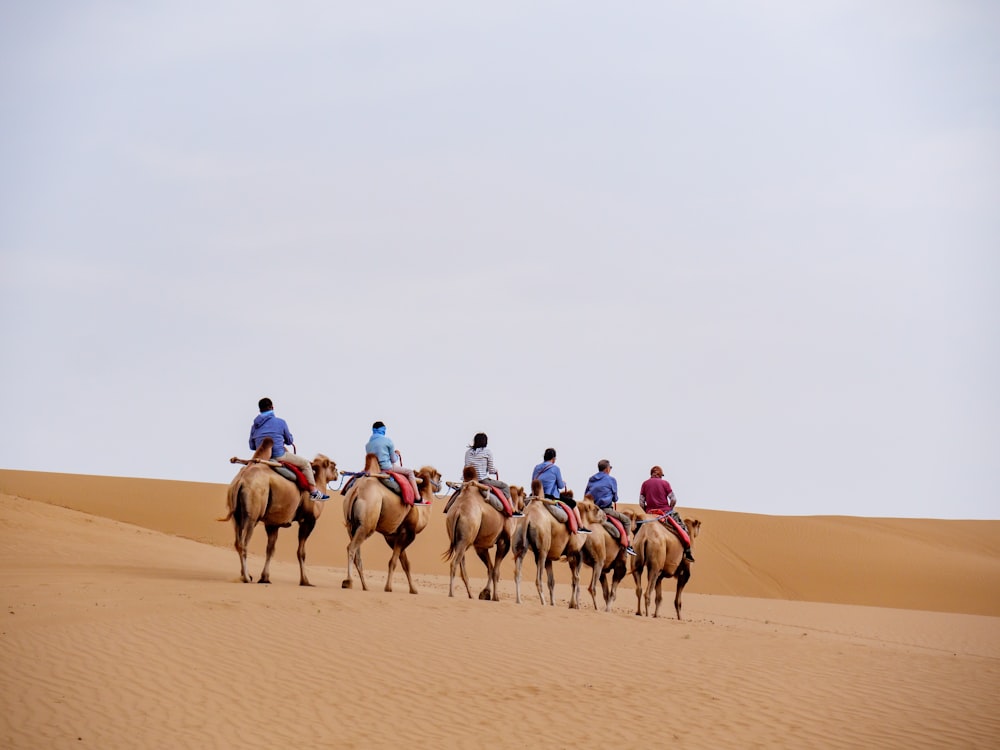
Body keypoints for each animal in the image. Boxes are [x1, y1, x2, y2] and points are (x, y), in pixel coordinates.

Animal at [223, 440, 340, 588]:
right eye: (333, 465)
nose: (338, 473)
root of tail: (240, 481)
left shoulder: (273, 523)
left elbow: (270, 549)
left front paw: (265, 578)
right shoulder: (308, 520)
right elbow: (301, 552)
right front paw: (305, 581)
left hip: (236, 516)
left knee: (237, 542)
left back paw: (245, 575)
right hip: (252, 515)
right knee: (244, 543)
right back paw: (246, 578)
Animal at [342, 456, 440, 596]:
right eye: (439, 476)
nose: (441, 485)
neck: (421, 510)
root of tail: (357, 490)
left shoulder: (393, 536)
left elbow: (405, 563)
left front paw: (413, 589)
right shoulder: (407, 533)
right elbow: (393, 561)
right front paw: (388, 588)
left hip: (352, 526)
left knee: (357, 554)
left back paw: (365, 587)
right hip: (367, 523)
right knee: (351, 547)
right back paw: (348, 581)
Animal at [444, 468, 528, 604]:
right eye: (524, 495)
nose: (522, 507)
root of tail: (458, 511)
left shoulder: (481, 545)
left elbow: (490, 568)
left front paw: (485, 593)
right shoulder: (504, 541)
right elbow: (496, 570)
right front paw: (495, 597)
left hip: (459, 538)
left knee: (462, 565)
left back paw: (470, 595)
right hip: (466, 537)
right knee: (454, 563)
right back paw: (451, 593)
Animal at [512, 482, 604, 612]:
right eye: (597, 508)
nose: (605, 516)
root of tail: (528, 518)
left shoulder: (550, 558)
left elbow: (552, 581)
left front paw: (554, 603)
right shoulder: (572, 552)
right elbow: (576, 578)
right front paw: (575, 605)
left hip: (520, 543)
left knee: (517, 573)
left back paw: (519, 600)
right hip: (542, 549)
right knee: (538, 578)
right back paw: (543, 602)